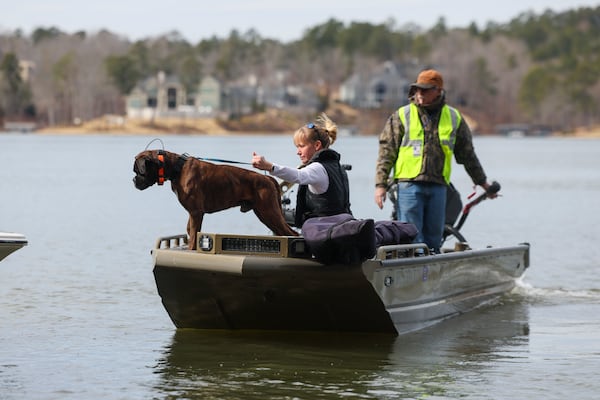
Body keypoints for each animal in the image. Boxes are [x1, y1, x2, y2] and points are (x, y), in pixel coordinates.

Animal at [134, 150, 298, 250]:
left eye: (138, 171)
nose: (133, 180)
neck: (177, 168)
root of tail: (268, 178)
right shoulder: (193, 213)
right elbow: (190, 230)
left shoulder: (196, 212)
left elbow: (194, 234)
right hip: (266, 214)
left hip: (268, 212)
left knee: (292, 234)